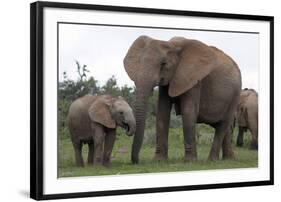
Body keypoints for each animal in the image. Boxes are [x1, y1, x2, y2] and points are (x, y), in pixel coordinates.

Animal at [123, 35, 242, 164]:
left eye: (163, 63)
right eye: (140, 62)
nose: (137, 161)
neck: (173, 45)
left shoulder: (193, 78)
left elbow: (188, 112)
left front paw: (190, 162)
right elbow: (162, 112)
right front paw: (159, 161)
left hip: (235, 95)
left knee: (222, 125)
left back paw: (212, 160)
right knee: (225, 127)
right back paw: (228, 159)